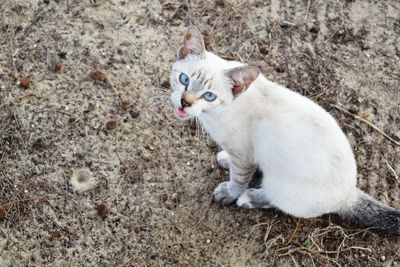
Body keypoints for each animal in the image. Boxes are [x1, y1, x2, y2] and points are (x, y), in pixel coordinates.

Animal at [170, 25, 400, 234]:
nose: (184, 102)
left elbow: (238, 179)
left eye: (209, 96)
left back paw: (249, 198)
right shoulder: (240, 155)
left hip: (281, 187)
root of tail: (350, 192)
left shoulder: (243, 156)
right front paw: (225, 159)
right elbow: (233, 163)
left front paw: (229, 193)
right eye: (184, 80)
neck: (213, 115)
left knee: (273, 199)